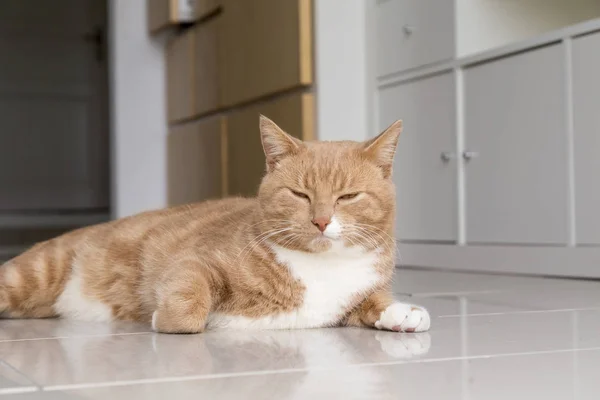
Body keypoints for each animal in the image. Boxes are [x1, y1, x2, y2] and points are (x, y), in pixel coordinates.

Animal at [1, 116, 432, 334]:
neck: (321, 268)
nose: (322, 220)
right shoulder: (194, 261)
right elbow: (189, 306)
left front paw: (402, 312)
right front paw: (164, 318)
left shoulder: (358, 293)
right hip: (33, 274)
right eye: (300, 194)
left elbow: (374, 302)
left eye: (347, 197)